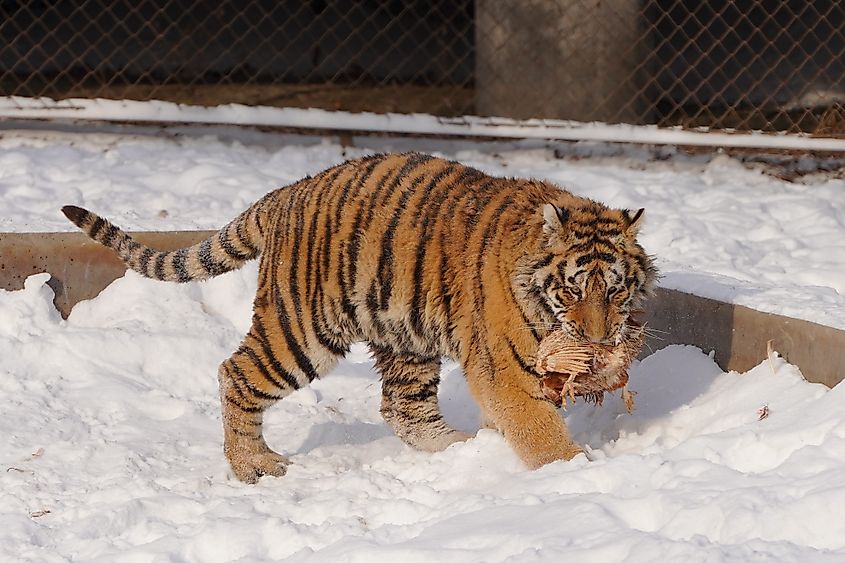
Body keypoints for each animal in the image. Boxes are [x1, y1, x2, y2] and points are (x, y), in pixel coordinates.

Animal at [62, 152, 657, 483]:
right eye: (573, 290)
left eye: (616, 291)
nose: (600, 339)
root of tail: (287, 192)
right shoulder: (506, 368)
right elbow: (538, 428)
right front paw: (573, 472)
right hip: (302, 330)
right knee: (236, 373)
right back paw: (254, 466)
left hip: (405, 335)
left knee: (403, 409)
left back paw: (460, 450)